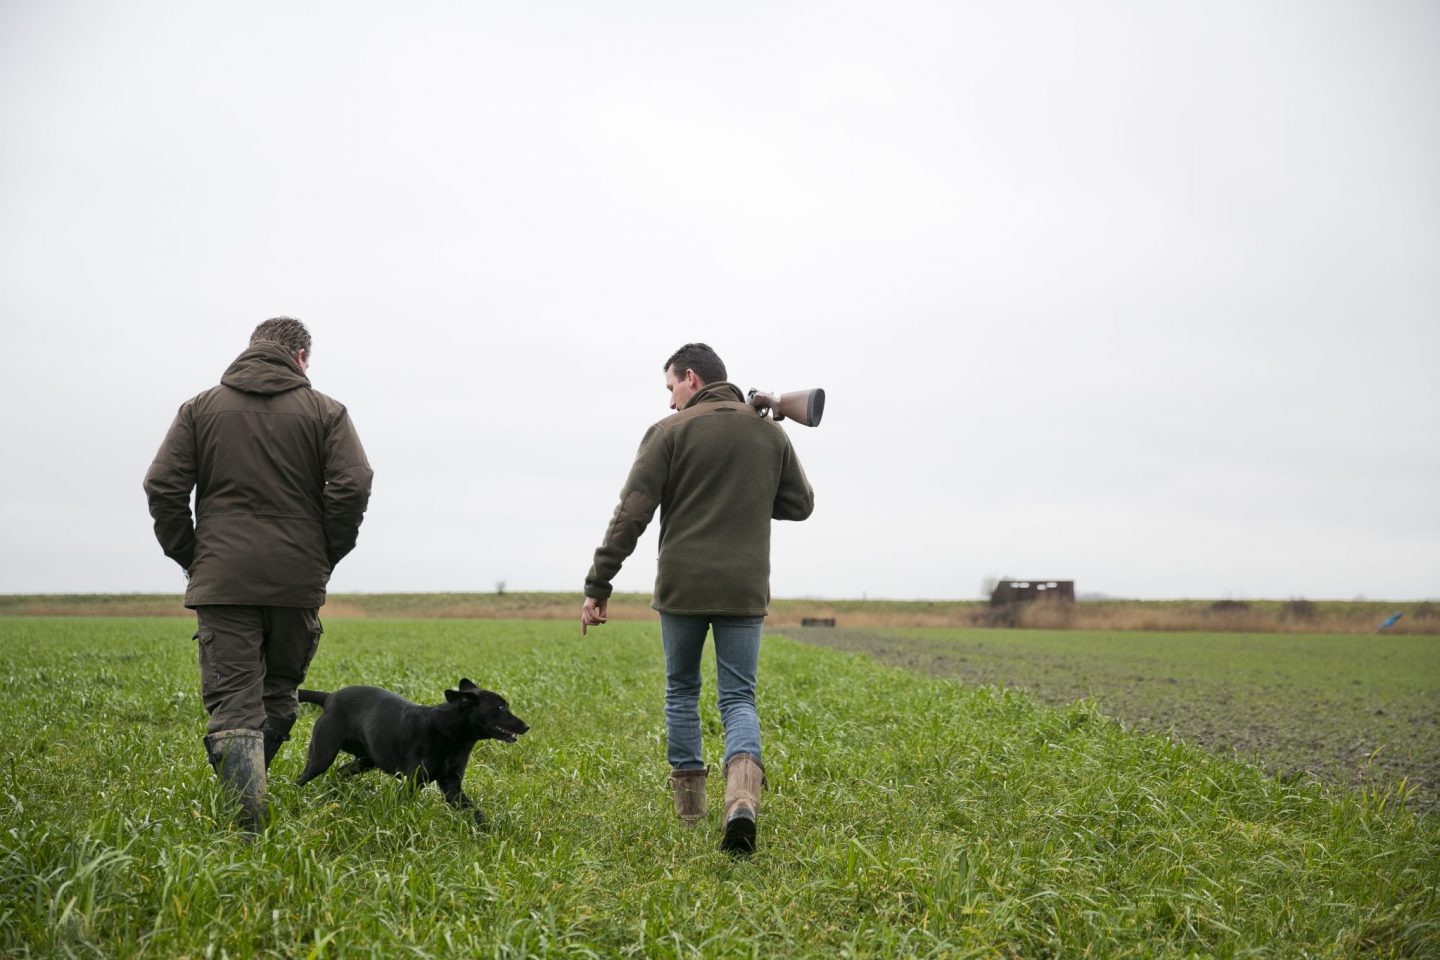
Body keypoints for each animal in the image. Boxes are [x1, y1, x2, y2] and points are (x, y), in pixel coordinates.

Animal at [295, 676, 527, 829]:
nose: (526, 726)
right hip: (321, 756)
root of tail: (329, 697)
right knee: (301, 778)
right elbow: (404, 808)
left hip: (365, 761)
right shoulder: (412, 782)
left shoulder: (452, 786)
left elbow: (476, 812)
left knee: (340, 771)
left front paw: (492, 833)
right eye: (500, 708)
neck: (454, 735)